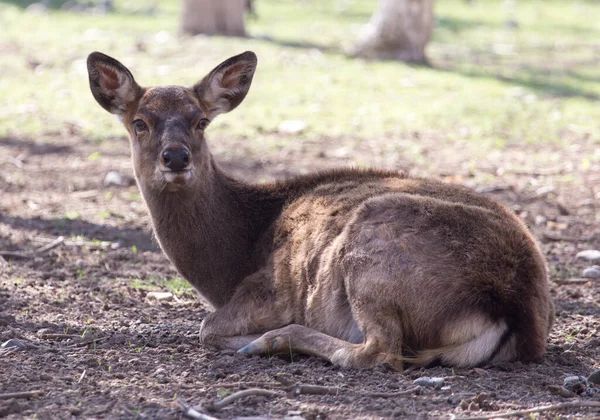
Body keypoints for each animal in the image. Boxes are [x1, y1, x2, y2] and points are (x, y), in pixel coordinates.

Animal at [86, 52, 556, 370]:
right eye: (139, 122)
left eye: (201, 120)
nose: (176, 157)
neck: (228, 266)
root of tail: (511, 306)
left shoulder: (270, 289)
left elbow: (207, 328)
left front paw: (248, 337)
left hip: (371, 247)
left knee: (380, 351)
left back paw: (270, 341)